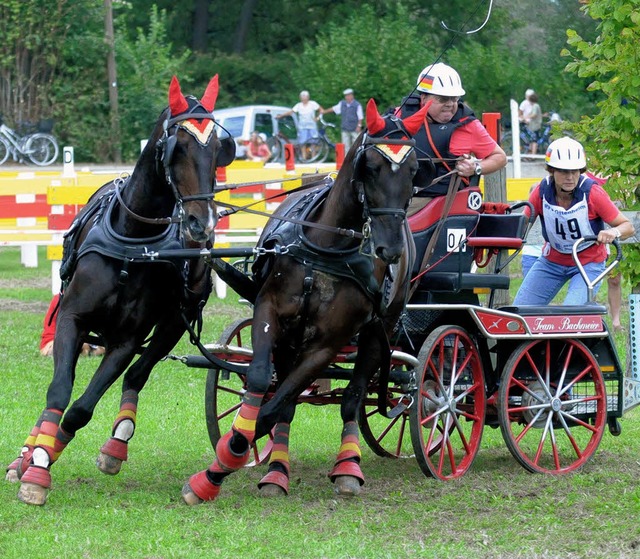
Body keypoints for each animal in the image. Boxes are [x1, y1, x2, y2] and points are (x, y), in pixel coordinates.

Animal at [5, 75, 235, 508]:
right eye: (177, 147)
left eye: (218, 150)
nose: (202, 224)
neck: (133, 240)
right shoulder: (71, 319)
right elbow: (58, 392)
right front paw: (35, 460)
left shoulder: (127, 340)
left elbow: (81, 409)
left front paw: (47, 457)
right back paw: (25, 454)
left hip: (172, 325)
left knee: (137, 375)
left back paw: (116, 443)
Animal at [180, 98, 430, 506]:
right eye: (372, 166)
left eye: (413, 169)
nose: (389, 249)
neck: (327, 250)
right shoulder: (270, 313)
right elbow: (263, 383)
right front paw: (232, 460)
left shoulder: (326, 345)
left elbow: (276, 406)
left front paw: (219, 468)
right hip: (292, 339)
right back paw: (276, 472)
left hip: (380, 329)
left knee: (352, 397)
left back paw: (347, 467)